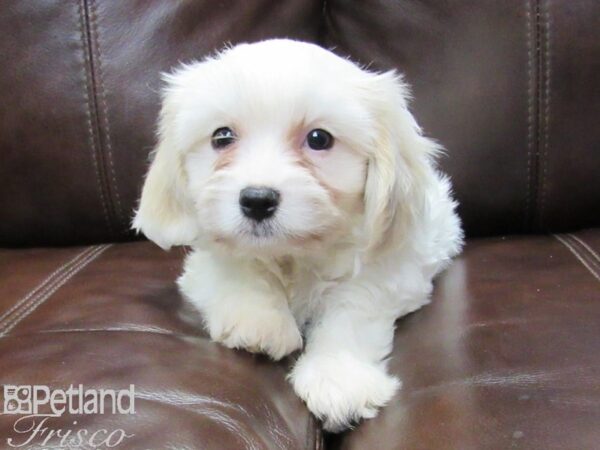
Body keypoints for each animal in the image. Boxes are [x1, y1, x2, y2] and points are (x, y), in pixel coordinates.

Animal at [134, 39, 464, 432]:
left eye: (319, 139)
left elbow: (354, 307)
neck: (293, 254)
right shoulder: (204, 263)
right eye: (222, 136)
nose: (257, 200)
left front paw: (338, 378)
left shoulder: (392, 269)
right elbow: (236, 268)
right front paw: (260, 322)